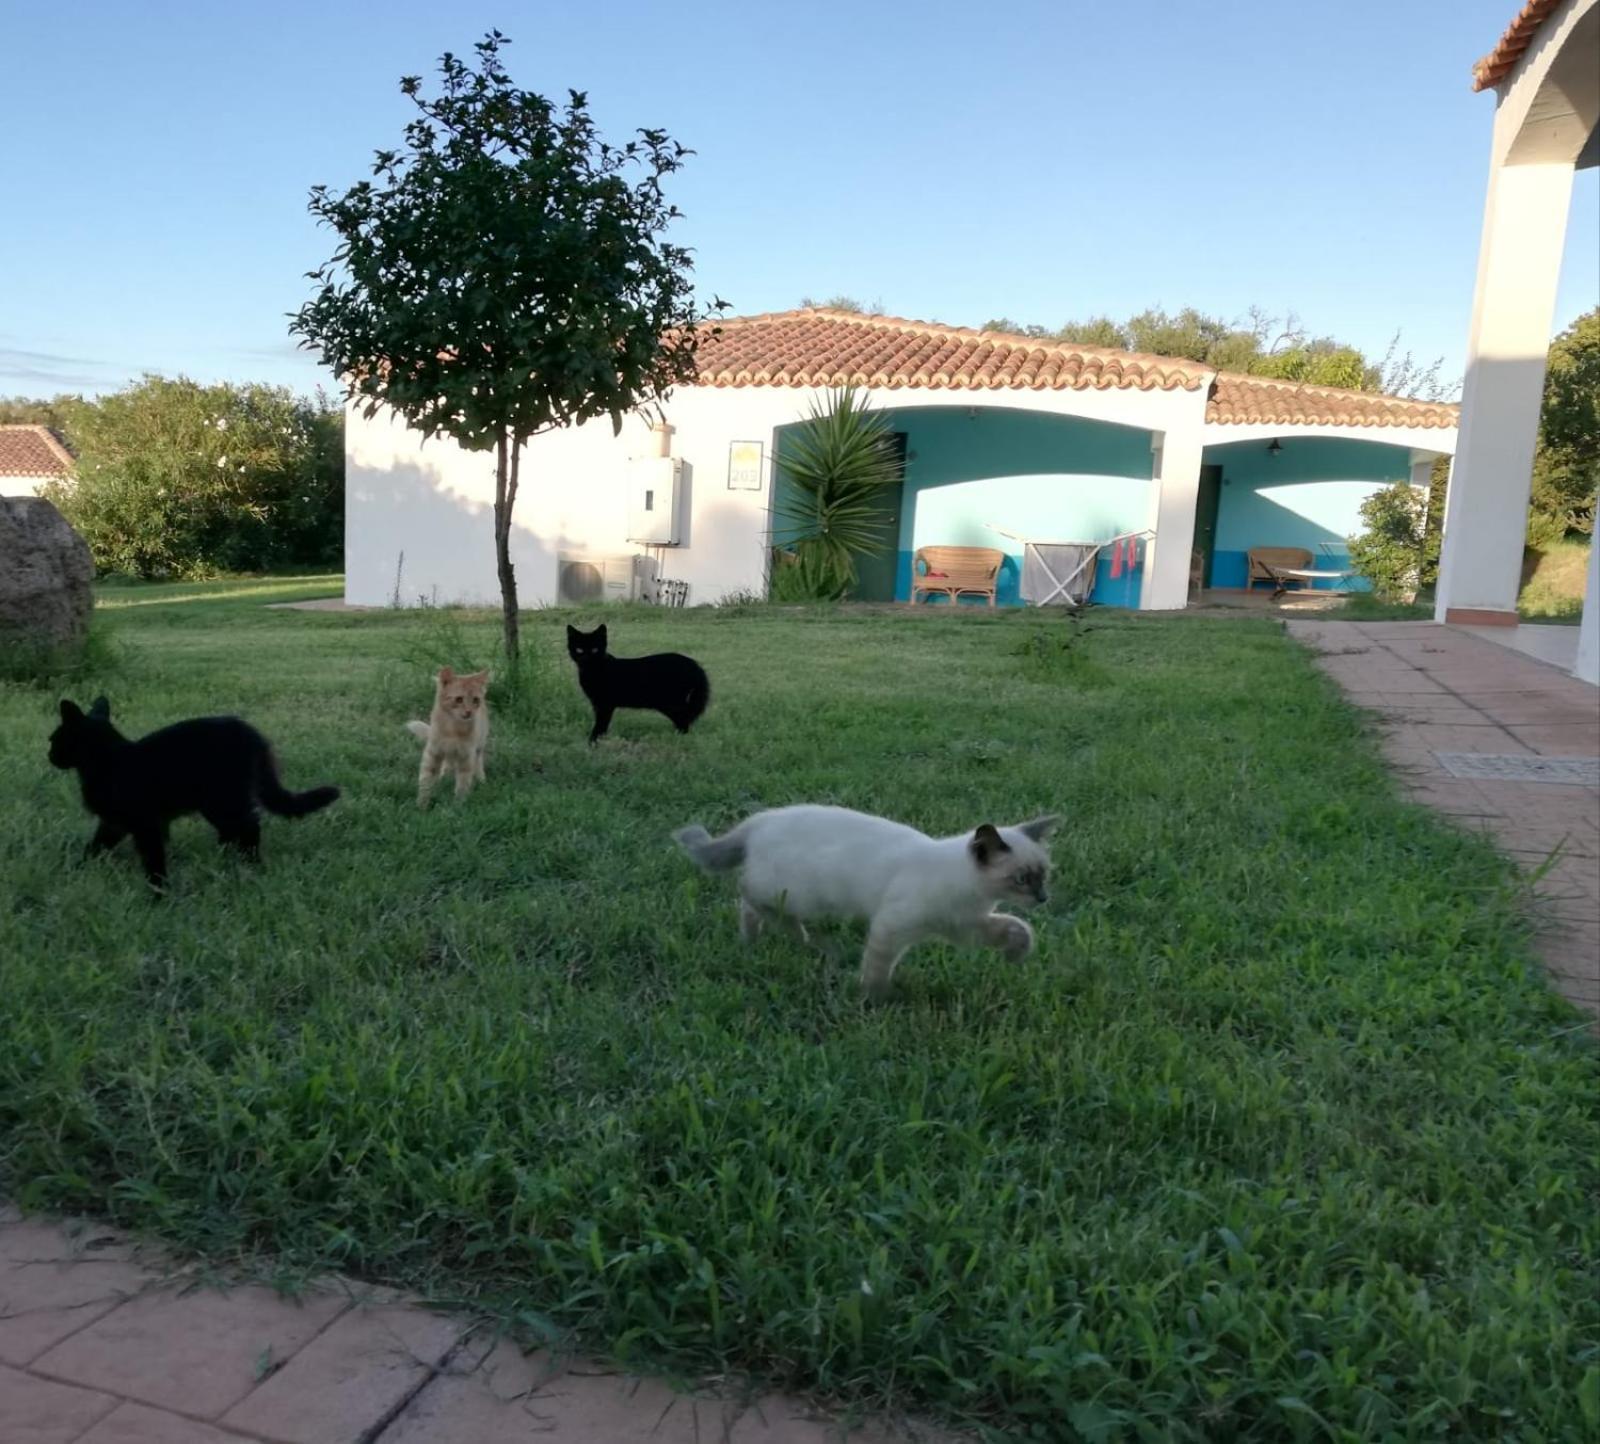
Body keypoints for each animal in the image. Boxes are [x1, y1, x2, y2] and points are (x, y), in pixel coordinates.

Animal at [48, 697, 339, 890]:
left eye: (53, 740)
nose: (49, 755)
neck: (104, 761)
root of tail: (253, 734)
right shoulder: (114, 822)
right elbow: (96, 846)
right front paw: (77, 868)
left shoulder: (144, 822)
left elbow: (153, 856)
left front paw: (158, 892)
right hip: (217, 802)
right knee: (234, 829)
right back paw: (226, 856)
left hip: (222, 798)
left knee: (249, 826)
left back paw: (250, 863)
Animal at [406, 662, 486, 803]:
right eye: (459, 699)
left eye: (476, 700)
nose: (469, 712)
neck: (453, 728)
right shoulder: (433, 753)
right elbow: (426, 781)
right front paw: (421, 804)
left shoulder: (466, 757)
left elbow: (463, 784)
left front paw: (459, 803)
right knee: (447, 763)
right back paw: (444, 777)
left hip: (479, 745)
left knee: (478, 761)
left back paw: (481, 779)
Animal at [566, 624, 710, 746]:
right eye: (579, 650)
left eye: (595, 650)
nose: (586, 658)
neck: (593, 671)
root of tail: (695, 664)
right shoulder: (598, 704)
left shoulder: (604, 705)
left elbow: (600, 724)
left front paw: (593, 742)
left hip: (671, 703)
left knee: (684, 720)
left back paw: (678, 740)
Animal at [668, 806, 1056, 998]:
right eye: (1022, 879)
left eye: (1044, 875)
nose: (1043, 897)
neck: (972, 897)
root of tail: (760, 819)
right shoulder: (892, 926)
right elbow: (877, 967)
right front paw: (873, 999)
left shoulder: (966, 928)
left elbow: (1017, 927)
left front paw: (1015, 955)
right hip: (796, 892)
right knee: (747, 892)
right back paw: (806, 941)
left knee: (750, 907)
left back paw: (758, 942)